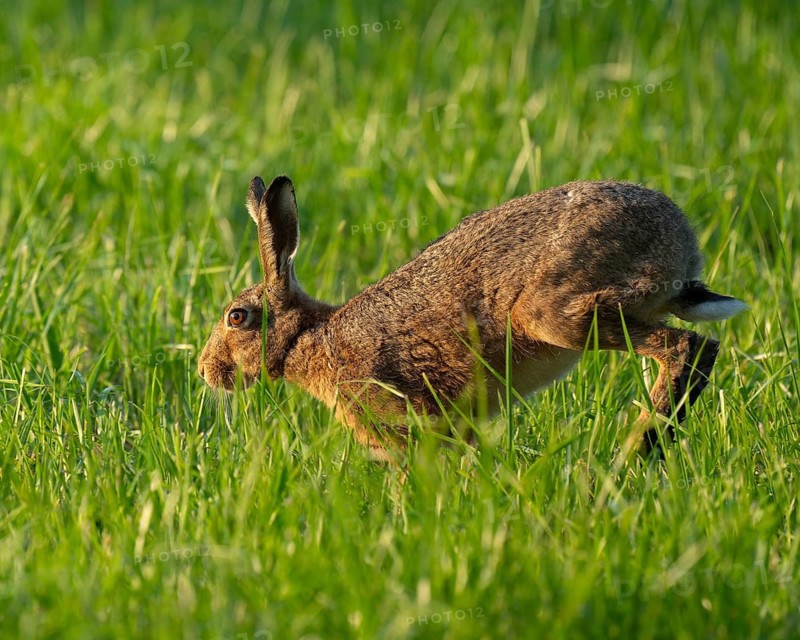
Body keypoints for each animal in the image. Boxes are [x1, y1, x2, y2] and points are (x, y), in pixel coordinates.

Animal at [198, 175, 747, 461]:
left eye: (238, 317)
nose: (206, 371)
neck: (308, 338)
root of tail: (681, 250)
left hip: (559, 312)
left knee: (689, 347)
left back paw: (636, 451)